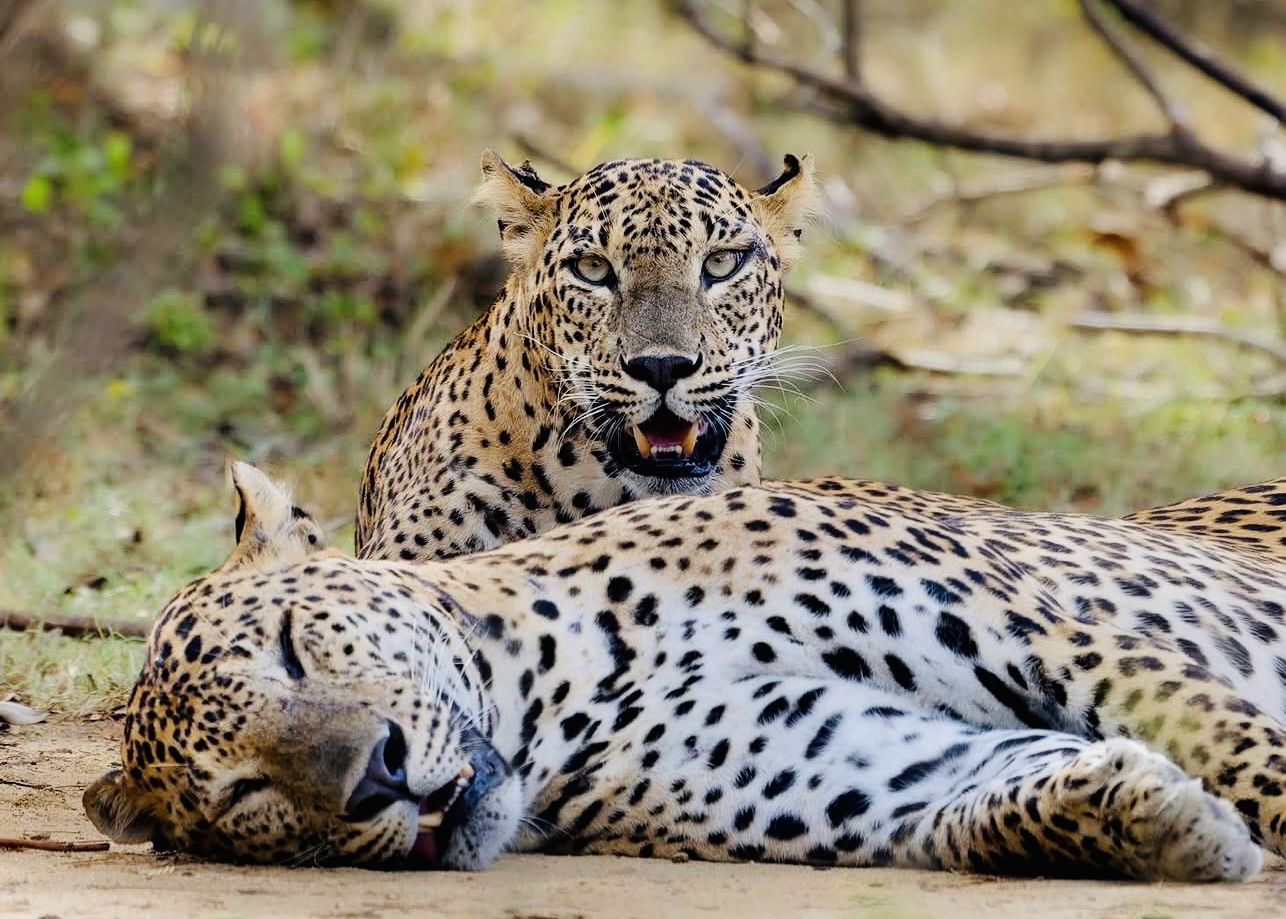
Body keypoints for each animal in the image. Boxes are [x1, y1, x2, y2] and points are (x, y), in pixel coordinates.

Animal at [85, 463, 1286, 882]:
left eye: (294, 643)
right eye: (243, 793)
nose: (372, 775)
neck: (560, 689)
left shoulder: (1044, 627)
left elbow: (1240, 744)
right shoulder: (862, 765)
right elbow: (987, 800)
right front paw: (1158, 819)